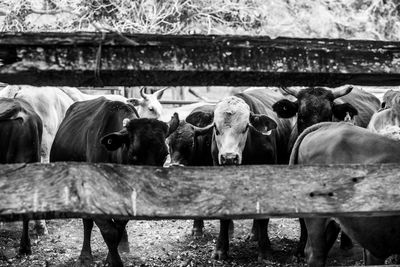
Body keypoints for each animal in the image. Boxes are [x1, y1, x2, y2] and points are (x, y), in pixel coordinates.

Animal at [48, 98, 177, 267]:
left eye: (165, 154)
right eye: (134, 154)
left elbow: (119, 227)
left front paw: (112, 256)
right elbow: (109, 231)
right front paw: (114, 261)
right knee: (87, 222)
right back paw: (85, 255)